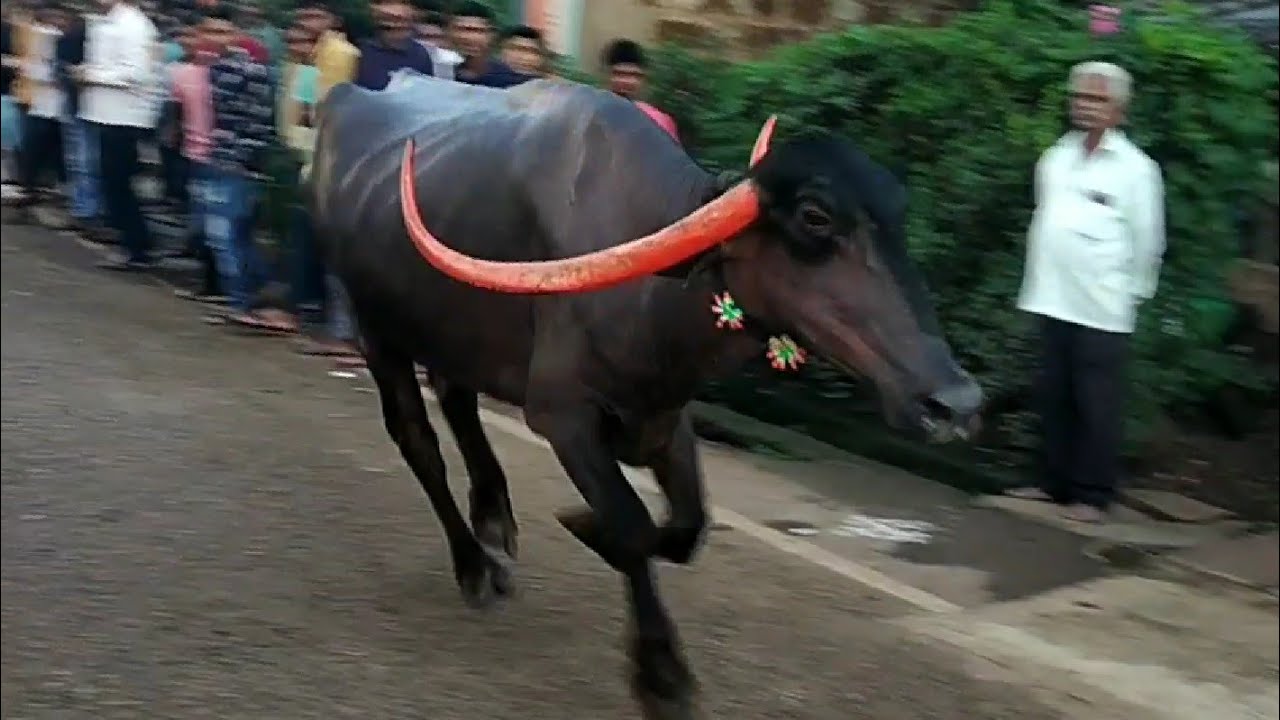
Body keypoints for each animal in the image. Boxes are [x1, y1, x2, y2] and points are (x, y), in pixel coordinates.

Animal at [308, 73, 982, 720]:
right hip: (379, 331)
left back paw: (495, 517)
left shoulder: (664, 419)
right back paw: (475, 566)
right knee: (418, 440)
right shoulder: (563, 416)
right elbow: (632, 528)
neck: (654, 297)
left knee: (455, 398)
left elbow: (687, 526)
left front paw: (588, 529)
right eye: (816, 217)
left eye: (898, 210)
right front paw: (660, 674)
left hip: (454, 337)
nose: (958, 403)